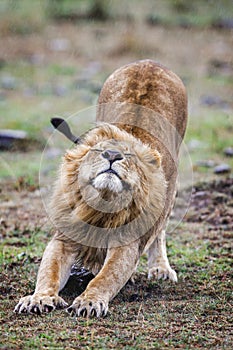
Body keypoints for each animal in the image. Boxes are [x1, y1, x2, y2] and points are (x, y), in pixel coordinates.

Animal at [14, 59, 187, 318]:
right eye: (99, 150)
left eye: (129, 155)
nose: (113, 154)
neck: (102, 203)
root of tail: (149, 62)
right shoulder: (65, 237)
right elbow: (48, 272)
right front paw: (39, 298)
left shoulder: (126, 245)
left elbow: (107, 277)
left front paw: (90, 301)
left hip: (171, 187)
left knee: (160, 230)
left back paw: (160, 269)